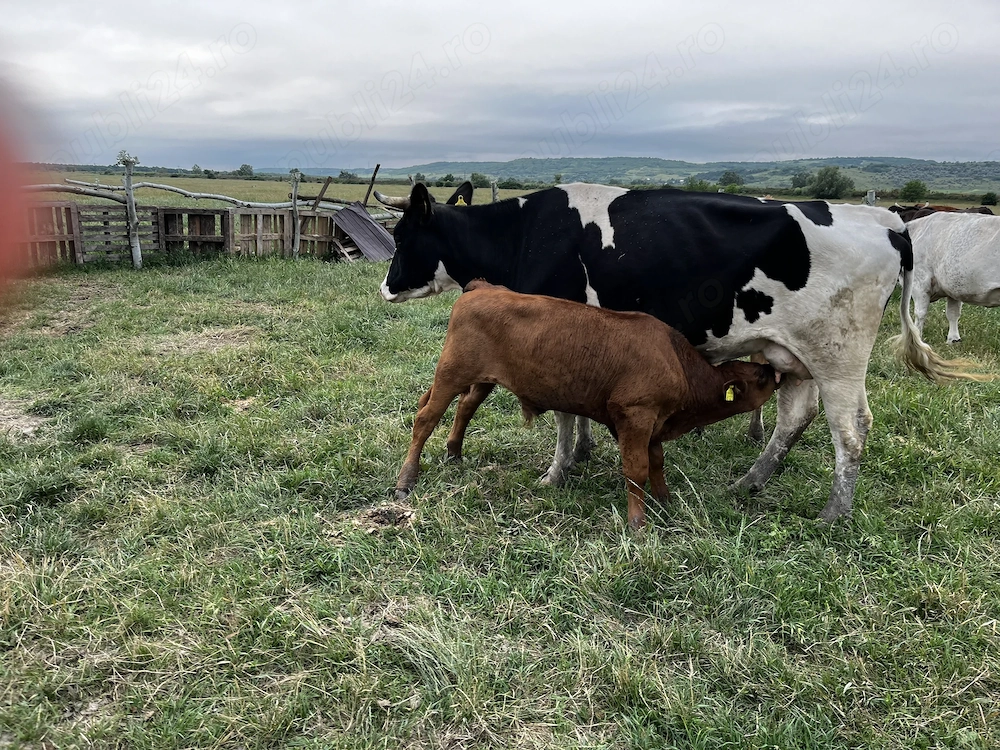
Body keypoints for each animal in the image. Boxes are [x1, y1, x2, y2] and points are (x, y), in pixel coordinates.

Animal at [394, 280, 783, 529]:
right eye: (759, 379)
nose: (773, 371)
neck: (676, 361)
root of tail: (483, 287)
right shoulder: (634, 416)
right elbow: (637, 470)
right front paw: (638, 523)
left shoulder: (653, 425)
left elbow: (657, 463)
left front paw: (665, 501)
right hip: (451, 374)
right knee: (425, 419)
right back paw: (406, 479)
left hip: (478, 379)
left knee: (463, 407)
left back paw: (455, 453)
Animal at [906, 211, 1000, 343]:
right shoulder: (953, 286)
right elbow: (953, 313)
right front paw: (953, 340)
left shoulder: (919, 281)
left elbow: (920, 313)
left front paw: (917, 339)